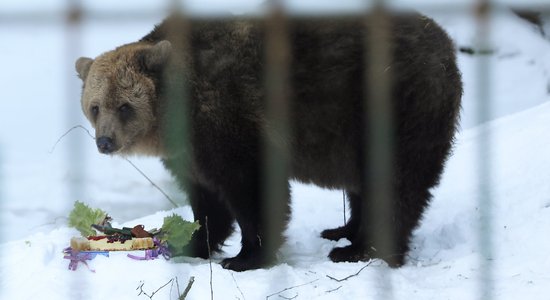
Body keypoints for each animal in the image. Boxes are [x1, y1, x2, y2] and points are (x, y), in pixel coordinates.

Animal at [75, 13, 464, 272]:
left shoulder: (231, 122)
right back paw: (341, 231)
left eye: (124, 106)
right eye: (95, 106)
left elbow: (253, 191)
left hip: (395, 108)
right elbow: (207, 202)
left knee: (397, 183)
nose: (105, 141)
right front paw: (189, 243)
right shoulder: (192, 153)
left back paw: (361, 249)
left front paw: (245, 257)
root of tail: (447, 45)